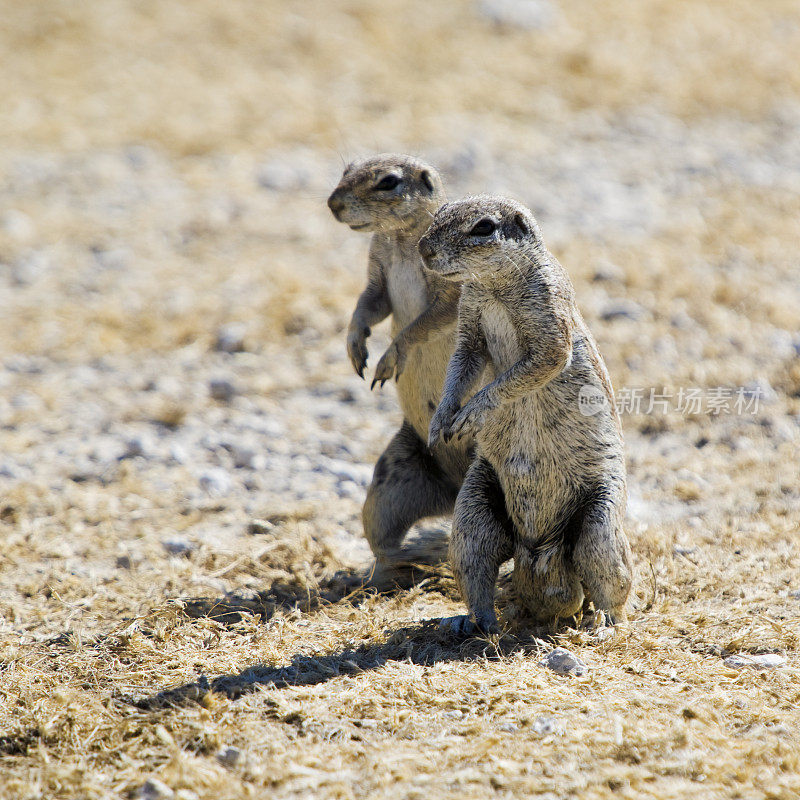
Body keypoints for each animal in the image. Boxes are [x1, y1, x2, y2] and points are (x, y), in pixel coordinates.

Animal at [324, 155, 476, 568]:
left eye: (388, 182)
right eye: (346, 169)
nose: (333, 204)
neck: (401, 239)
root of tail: (454, 488)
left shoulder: (451, 287)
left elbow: (428, 320)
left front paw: (389, 358)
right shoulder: (377, 268)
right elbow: (369, 303)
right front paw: (354, 344)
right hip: (389, 483)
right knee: (384, 543)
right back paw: (405, 557)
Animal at [422, 195, 636, 636]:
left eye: (483, 227)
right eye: (441, 210)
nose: (423, 250)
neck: (492, 287)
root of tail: (540, 553)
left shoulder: (550, 318)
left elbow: (538, 364)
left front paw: (472, 413)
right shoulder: (469, 324)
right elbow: (460, 364)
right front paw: (442, 421)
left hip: (600, 525)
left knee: (612, 579)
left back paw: (607, 622)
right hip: (472, 513)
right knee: (477, 568)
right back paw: (473, 622)